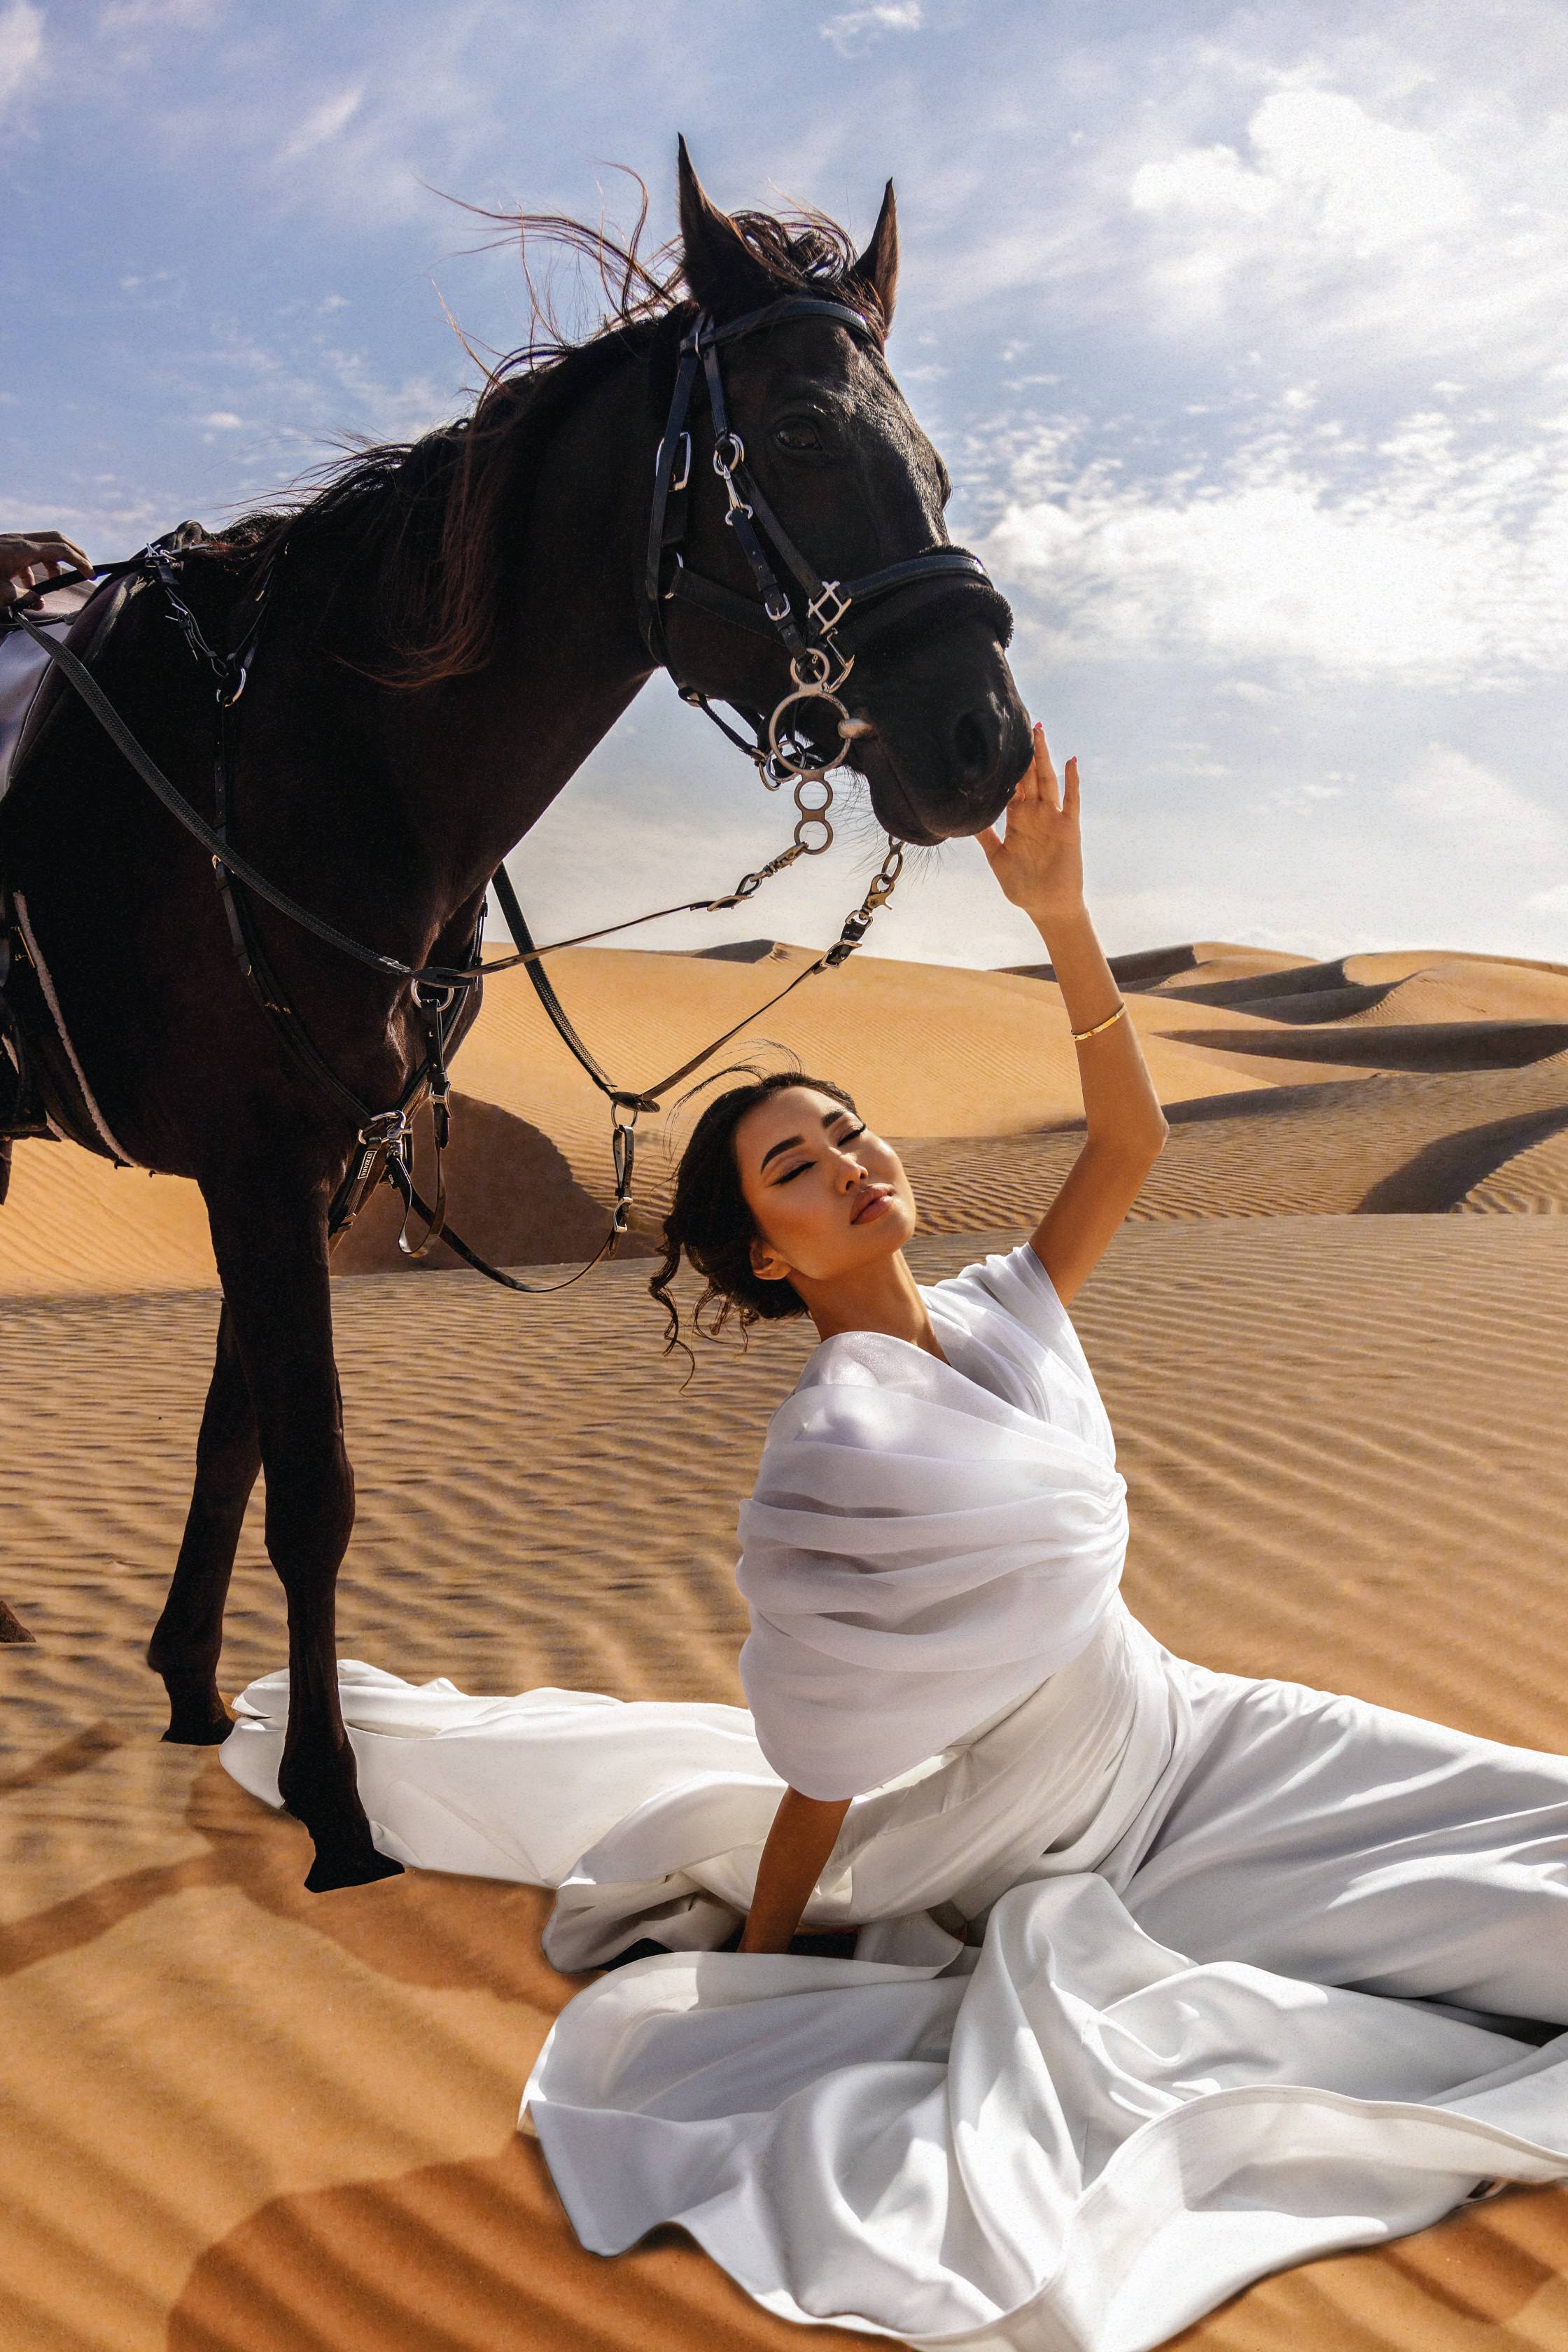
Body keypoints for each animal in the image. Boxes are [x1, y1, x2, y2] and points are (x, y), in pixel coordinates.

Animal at [0, 151, 1029, 1891]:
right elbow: (313, 1483)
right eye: (799, 440)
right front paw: (336, 1807)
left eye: (940, 468)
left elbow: (234, 1439)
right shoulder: (257, 1159)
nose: (988, 740)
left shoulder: (310, 1164)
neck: (309, 759)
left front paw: (198, 1693)